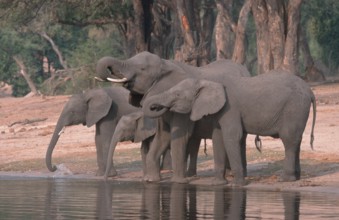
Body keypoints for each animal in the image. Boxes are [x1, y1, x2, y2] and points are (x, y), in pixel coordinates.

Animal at [94, 51, 251, 184]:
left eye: (142, 69)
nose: (106, 180)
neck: (165, 64)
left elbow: (180, 136)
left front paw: (179, 182)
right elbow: (163, 136)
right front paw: (151, 180)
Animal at [142, 72, 318, 186]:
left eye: (178, 95)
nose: (154, 106)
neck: (206, 82)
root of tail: (310, 91)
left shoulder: (230, 109)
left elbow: (231, 137)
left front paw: (237, 185)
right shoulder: (221, 112)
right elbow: (219, 137)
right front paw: (218, 184)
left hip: (294, 108)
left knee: (289, 140)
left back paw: (285, 179)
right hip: (298, 111)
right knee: (296, 141)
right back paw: (296, 178)